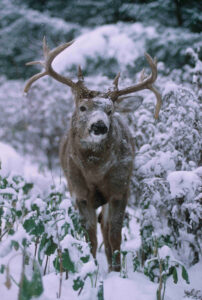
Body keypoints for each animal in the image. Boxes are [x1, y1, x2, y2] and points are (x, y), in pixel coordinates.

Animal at [24, 37, 161, 272]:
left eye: (110, 110)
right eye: (82, 107)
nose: (99, 126)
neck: (95, 171)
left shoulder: (120, 189)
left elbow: (114, 235)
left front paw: (116, 271)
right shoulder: (79, 192)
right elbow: (90, 237)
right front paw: (89, 266)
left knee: (105, 225)